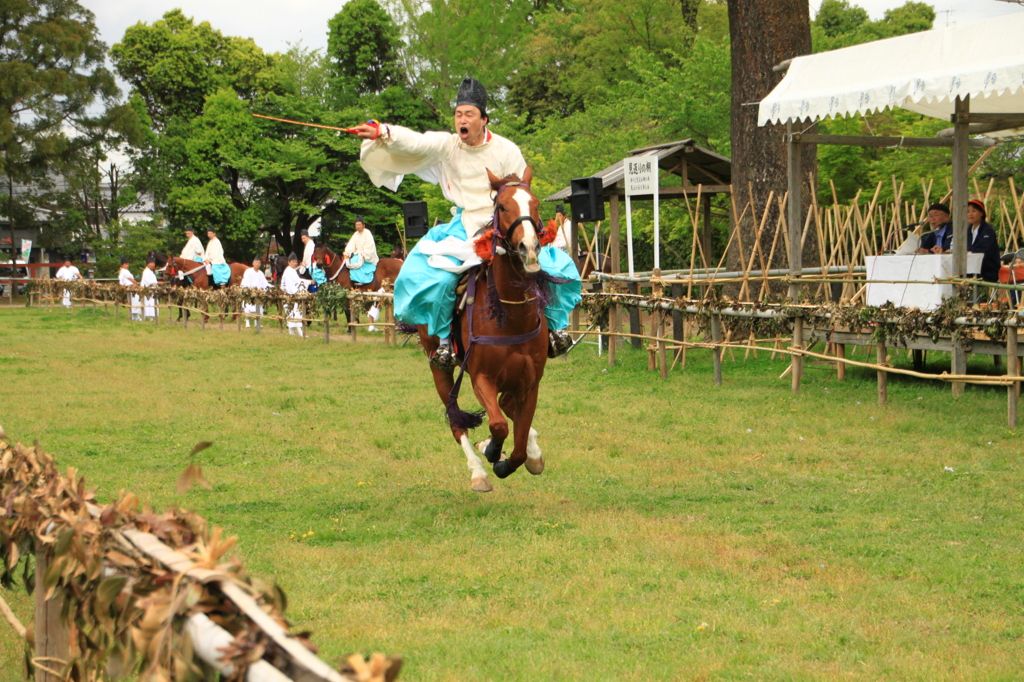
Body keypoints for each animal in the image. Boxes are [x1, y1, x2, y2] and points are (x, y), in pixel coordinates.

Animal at [419, 166, 552, 491]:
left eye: (535, 203)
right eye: (502, 206)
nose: (529, 247)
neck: (511, 317)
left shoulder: (531, 383)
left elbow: (518, 443)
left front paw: (516, 457)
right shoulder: (481, 377)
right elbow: (498, 425)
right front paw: (491, 450)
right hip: (438, 367)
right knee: (457, 421)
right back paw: (478, 471)